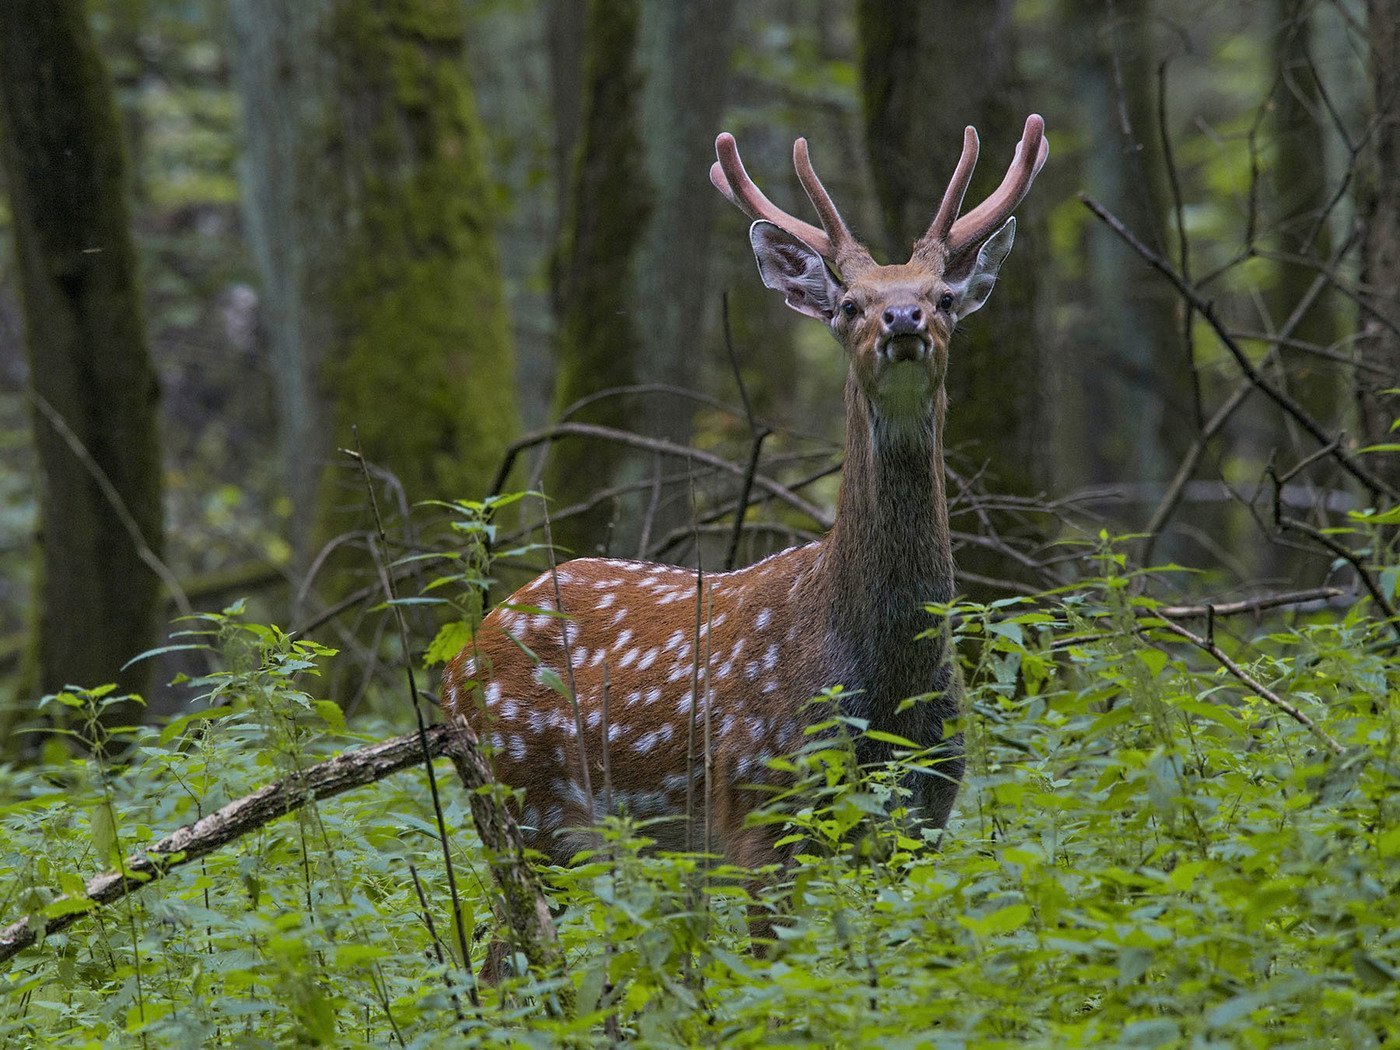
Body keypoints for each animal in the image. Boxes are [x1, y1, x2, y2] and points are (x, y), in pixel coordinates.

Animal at [442, 116, 1047, 879]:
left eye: (943, 297)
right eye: (849, 305)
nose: (904, 319)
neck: (885, 688)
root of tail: (456, 660)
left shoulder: (925, 812)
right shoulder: (761, 804)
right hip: (526, 808)